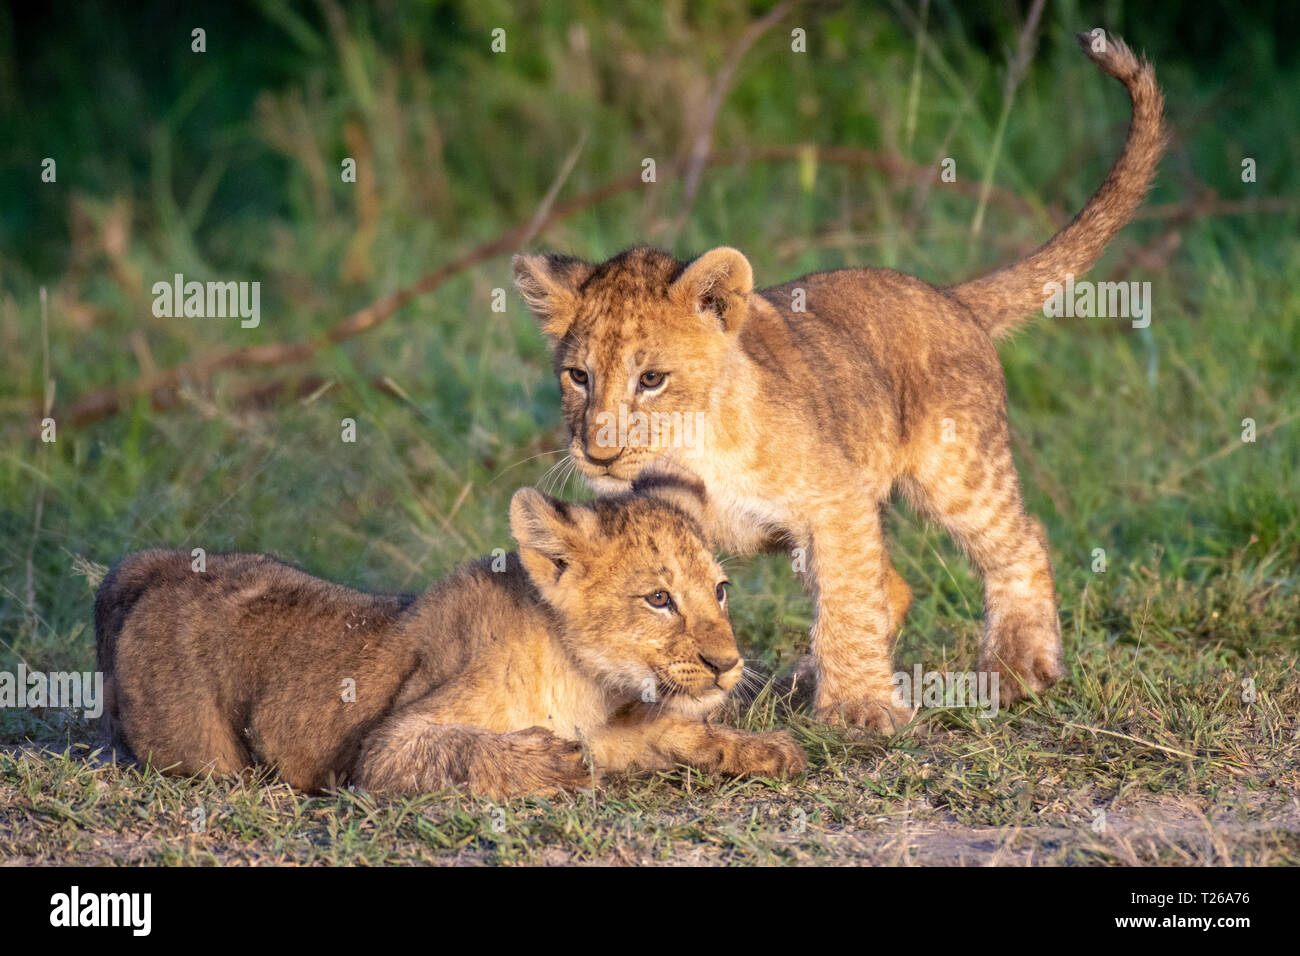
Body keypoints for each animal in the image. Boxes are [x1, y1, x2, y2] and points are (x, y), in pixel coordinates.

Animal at [93, 469, 805, 799]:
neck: (587, 682)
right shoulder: (381, 753)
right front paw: (548, 762)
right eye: (659, 599)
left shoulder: (612, 730)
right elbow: (460, 748)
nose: (728, 663)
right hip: (201, 752)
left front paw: (763, 748)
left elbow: (672, 730)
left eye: (720, 591)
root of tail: (151, 566)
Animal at [512, 34, 1166, 730]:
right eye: (578, 376)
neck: (692, 450)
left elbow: (850, 604)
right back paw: (800, 678)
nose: (598, 454)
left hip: (959, 470)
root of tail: (949, 296)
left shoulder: (837, 498)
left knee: (1019, 542)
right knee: (897, 585)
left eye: (653, 379)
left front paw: (858, 708)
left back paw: (1017, 669)